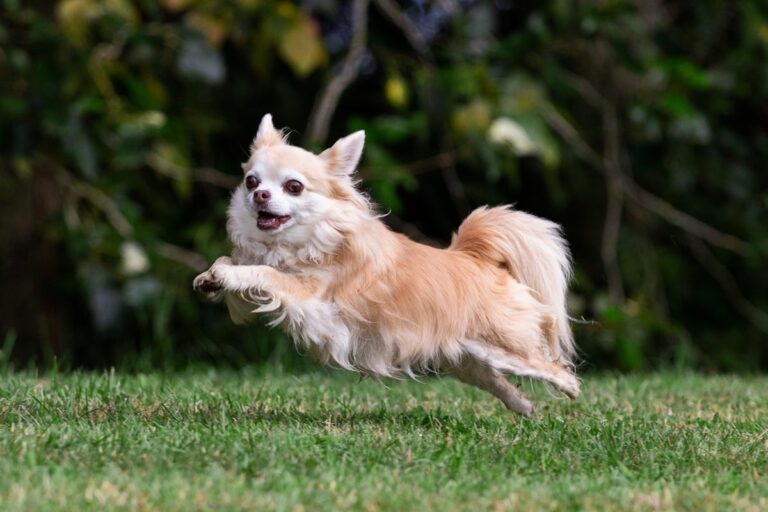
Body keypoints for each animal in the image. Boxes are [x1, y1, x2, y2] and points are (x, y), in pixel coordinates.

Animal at [195, 115, 580, 416]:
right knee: (495, 380)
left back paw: (571, 390)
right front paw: (211, 277)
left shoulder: (307, 293)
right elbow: (236, 266)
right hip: (467, 357)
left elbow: (265, 272)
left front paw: (228, 273)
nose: (259, 195)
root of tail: (475, 258)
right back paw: (524, 406)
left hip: (507, 348)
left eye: (294, 187)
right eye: (251, 181)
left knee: (551, 366)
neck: (296, 242)